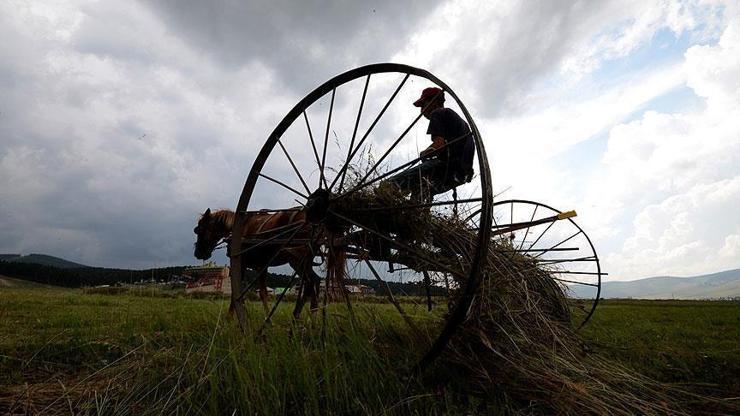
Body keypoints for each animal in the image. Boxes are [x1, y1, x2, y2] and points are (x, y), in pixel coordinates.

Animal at [194, 208, 324, 318]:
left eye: (200, 229)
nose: (198, 253)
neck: (239, 228)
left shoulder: (240, 263)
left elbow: (236, 292)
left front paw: (229, 317)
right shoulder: (261, 266)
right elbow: (262, 293)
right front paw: (268, 317)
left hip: (297, 260)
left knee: (310, 282)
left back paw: (301, 316)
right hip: (304, 261)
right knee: (315, 281)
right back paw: (311, 316)